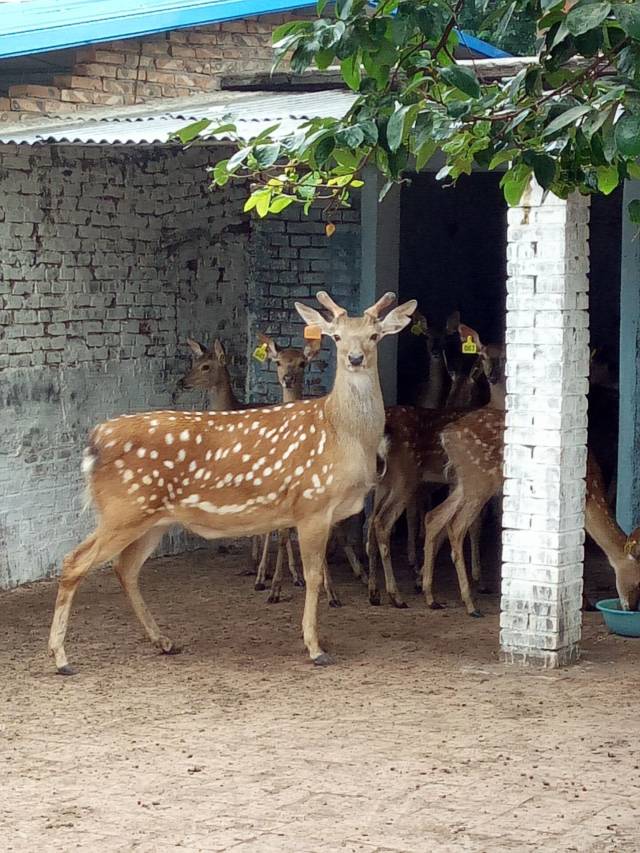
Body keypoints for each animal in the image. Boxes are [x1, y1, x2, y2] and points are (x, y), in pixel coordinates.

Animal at [46, 292, 416, 672]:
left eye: (374, 336)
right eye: (337, 336)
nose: (355, 359)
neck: (342, 434)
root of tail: (93, 442)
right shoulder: (311, 502)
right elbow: (312, 576)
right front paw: (315, 647)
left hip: (152, 519)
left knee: (125, 568)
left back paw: (164, 641)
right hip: (123, 508)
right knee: (74, 561)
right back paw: (61, 657)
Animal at [420, 410, 640, 616]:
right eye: (639, 582)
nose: (631, 607)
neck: (590, 495)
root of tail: (447, 435)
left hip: (465, 483)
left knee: (434, 516)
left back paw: (431, 597)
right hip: (479, 480)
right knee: (456, 527)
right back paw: (470, 605)